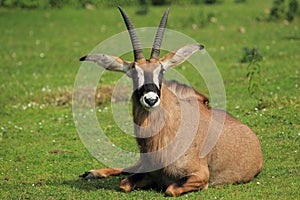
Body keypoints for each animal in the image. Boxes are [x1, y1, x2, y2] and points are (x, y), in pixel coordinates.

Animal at [79, 6, 262, 197]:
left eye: (161, 71)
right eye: (134, 73)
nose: (151, 99)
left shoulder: (200, 175)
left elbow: (170, 189)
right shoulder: (147, 173)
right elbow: (124, 184)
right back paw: (91, 173)